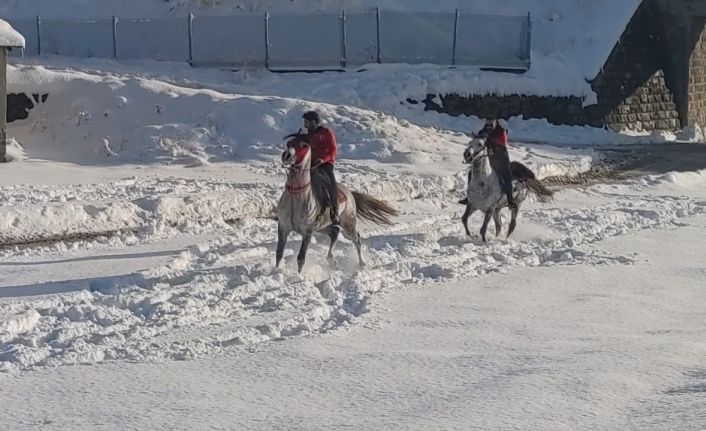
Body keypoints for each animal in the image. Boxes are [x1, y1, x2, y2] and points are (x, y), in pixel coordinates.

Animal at [276, 137, 396, 274]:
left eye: (304, 146)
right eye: (289, 143)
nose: (286, 155)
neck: (296, 198)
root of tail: (350, 193)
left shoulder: (307, 232)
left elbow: (301, 258)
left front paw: (299, 276)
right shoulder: (283, 227)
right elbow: (279, 253)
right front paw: (275, 270)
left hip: (348, 224)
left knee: (356, 239)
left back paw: (362, 263)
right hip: (321, 226)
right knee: (335, 232)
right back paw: (332, 261)